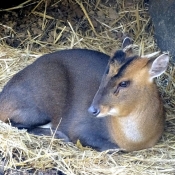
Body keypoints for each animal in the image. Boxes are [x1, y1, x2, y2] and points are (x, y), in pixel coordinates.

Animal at [0, 38, 169, 152]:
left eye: (124, 83)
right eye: (106, 72)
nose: (93, 110)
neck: (134, 140)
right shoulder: (81, 129)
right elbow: (113, 148)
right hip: (38, 106)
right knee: (13, 123)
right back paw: (60, 135)